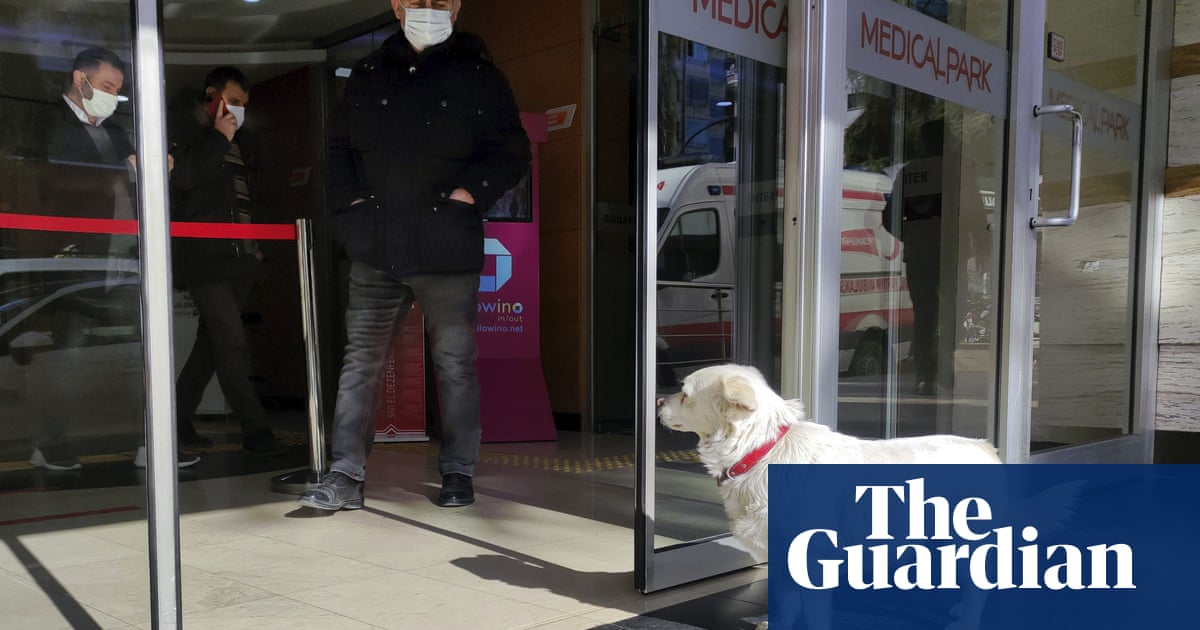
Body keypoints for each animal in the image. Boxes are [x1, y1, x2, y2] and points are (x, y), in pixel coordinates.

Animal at [657, 362, 1003, 628]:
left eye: (685, 395)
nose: (658, 399)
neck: (762, 452)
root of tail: (984, 446)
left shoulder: (813, 561)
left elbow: (813, 612)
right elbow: (785, 602)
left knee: (978, 585)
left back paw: (967, 619)